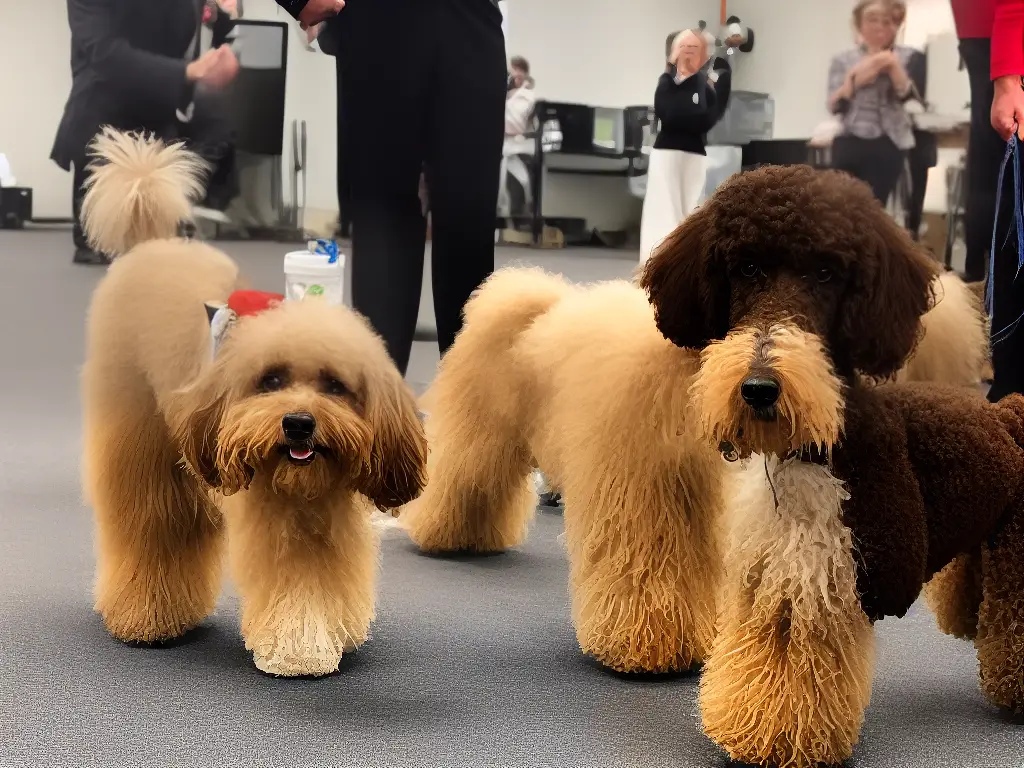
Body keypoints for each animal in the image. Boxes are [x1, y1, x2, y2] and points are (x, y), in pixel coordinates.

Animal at [78, 129, 423, 675]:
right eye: (271, 379)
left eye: (335, 385)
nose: (299, 423)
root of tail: (151, 244)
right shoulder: (278, 517)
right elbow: (295, 584)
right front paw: (298, 650)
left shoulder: (325, 516)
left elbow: (330, 574)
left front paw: (334, 633)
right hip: (145, 452)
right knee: (150, 529)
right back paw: (144, 619)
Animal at [638, 166, 1024, 768]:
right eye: (745, 268)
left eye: (826, 271)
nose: (758, 388)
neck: (813, 451)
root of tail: (1008, 413)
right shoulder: (771, 569)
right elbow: (762, 658)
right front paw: (752, 731)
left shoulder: (829, 575)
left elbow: (803, 670)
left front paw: (785, 740)